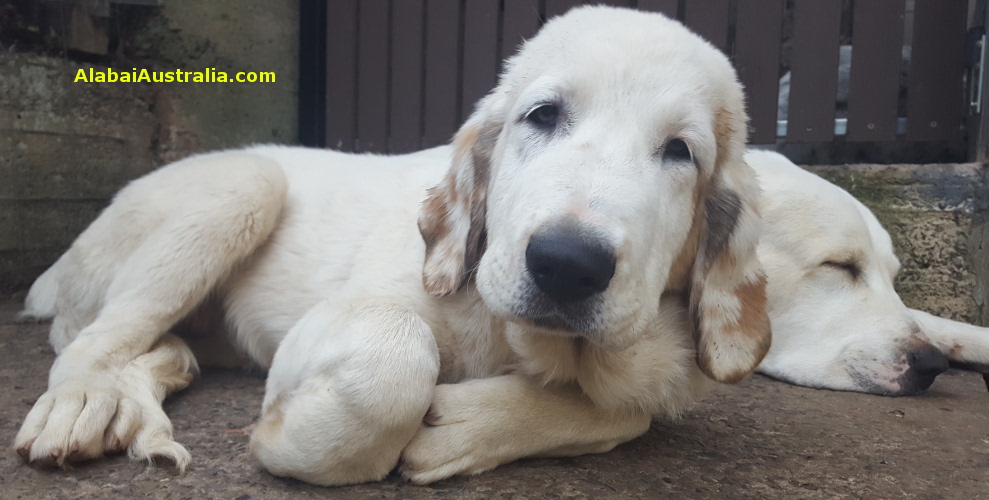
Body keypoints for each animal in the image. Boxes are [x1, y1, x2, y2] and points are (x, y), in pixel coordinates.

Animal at [9, 5, 772, 486]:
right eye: (543, 115)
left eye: (680, 152)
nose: (566, 265)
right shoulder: (348, 319)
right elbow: (394, 358)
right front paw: (296, 440)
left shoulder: (659, 362)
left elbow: (628, 413)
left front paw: (465, 425)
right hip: (243, 186)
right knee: (87, 342)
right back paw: (84, 403)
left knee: (158, 350)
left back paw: (144, 406)